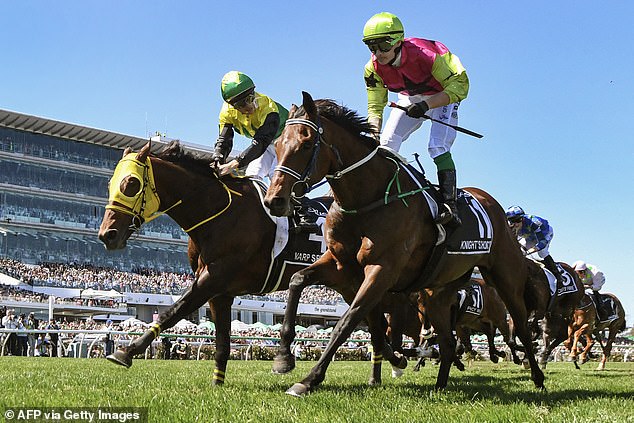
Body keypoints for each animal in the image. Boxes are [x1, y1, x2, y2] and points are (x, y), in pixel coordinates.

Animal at [96, 141, 408, 386]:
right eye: (109, 184)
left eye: (131, 184)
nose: (107, 235)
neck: (216, 211)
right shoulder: (220, 291)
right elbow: (222, 342)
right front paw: (217, 383)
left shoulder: (213, 278)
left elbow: (173, 311)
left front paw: (126, 352)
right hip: (346, 282)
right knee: (374, 321)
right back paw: (391, 362)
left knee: (374, 320)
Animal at [262, 93, 544, 398]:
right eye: (277, 144)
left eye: (305, 142)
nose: (274, 201)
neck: (366, 199)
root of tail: (491, 202)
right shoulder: (340, 265)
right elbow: (298, 281)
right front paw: (283, 357)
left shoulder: (382, 269)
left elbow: (348, 322)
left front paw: (309, 379)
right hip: (439, 293)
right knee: (447, 341)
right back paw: (440, 384)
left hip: (505, 279)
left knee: (520, 327)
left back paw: (537, 376)